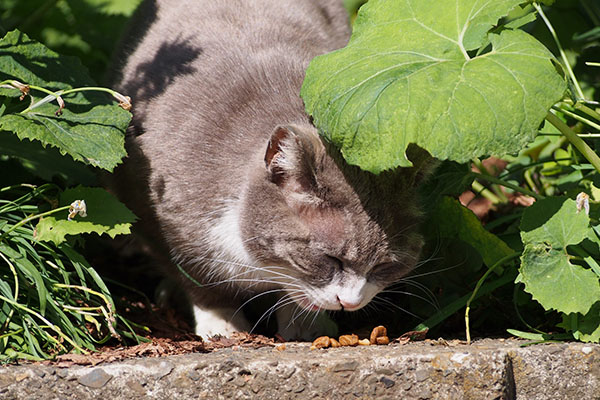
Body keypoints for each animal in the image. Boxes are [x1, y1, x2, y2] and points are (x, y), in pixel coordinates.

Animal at [111, 0, 432, 340]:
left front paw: (305, 327)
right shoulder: (161, 219)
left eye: (383, 266)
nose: (350, 303)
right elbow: (199, 279)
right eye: (330, 259)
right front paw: (222, 324)